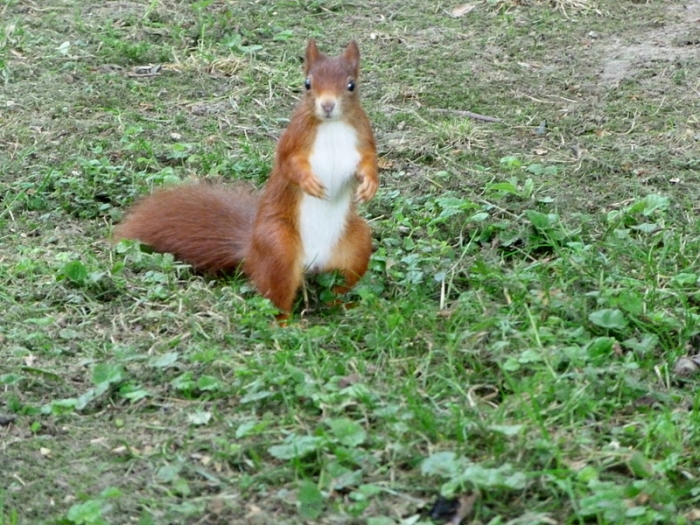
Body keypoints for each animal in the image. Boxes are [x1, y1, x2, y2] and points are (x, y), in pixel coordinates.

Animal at [114, 40, 379, 319]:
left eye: (351, 85)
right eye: (307, 83)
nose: (328, 105)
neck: (332, 127)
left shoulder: (364, 139)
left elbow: (369, 163)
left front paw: (369, 185)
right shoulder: (292, 142)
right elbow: (289, 165)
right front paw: (309, 183)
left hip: (357, 245)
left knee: (339, 286)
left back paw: (346, 307)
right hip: (278, 245)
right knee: (277, 296)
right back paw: (287, 323)